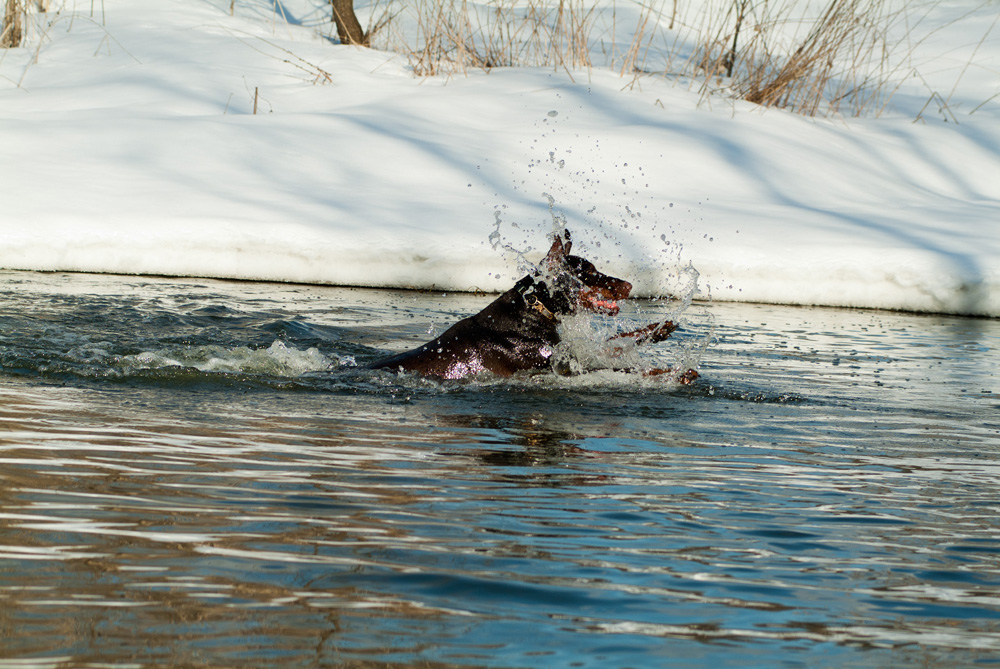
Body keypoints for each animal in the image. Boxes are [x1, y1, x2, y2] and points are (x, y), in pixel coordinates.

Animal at [368, 228, 696, 380]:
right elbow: (619, 369)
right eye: (588, 272)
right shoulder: (559, 368)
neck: (533, 312)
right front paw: (677, 374)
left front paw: (661, 328)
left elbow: (614, 343)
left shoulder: (570, 353)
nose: (628, 285)